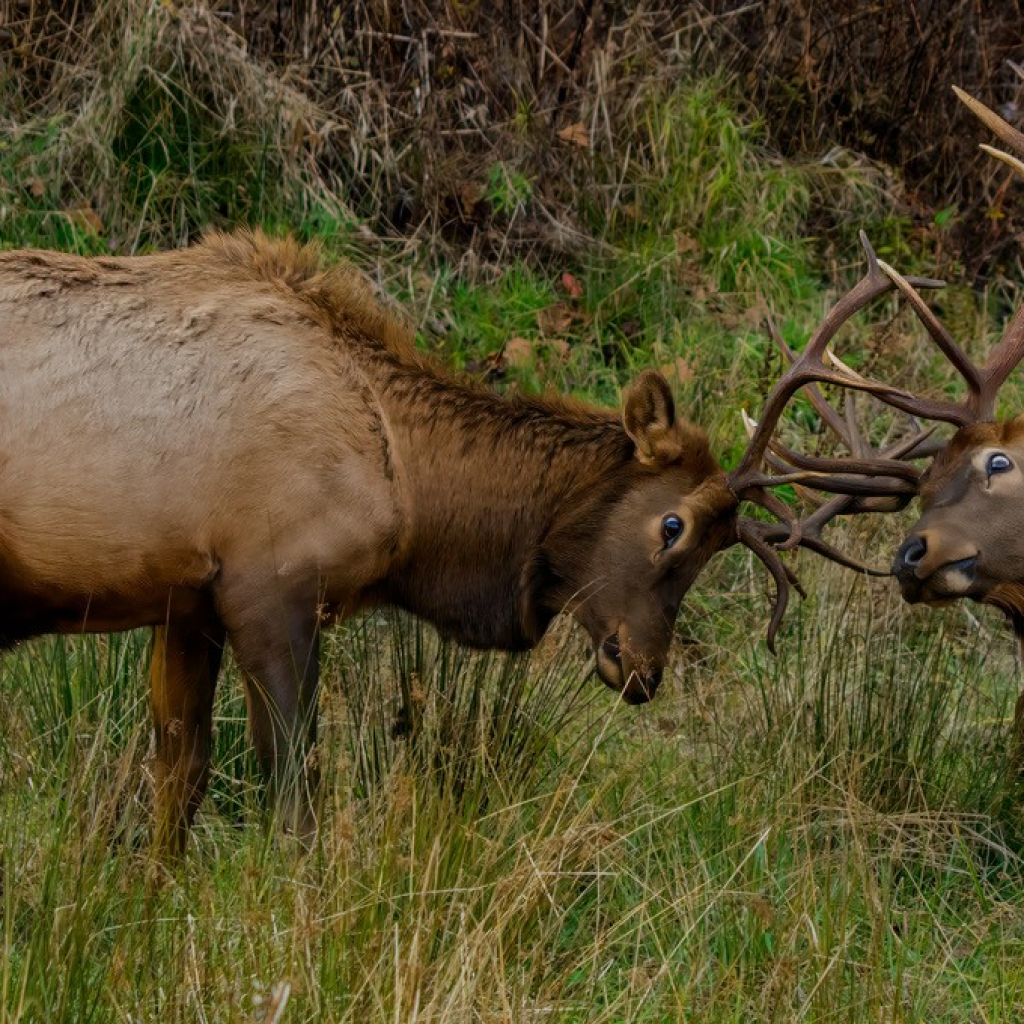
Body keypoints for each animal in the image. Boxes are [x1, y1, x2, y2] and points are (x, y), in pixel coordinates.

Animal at [0, 228, 922, 856]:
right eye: (674, 526)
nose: (643, 672)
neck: (407, 490)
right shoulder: (269, 588)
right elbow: (295, 801)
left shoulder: (187, 601)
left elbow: (177, 784)